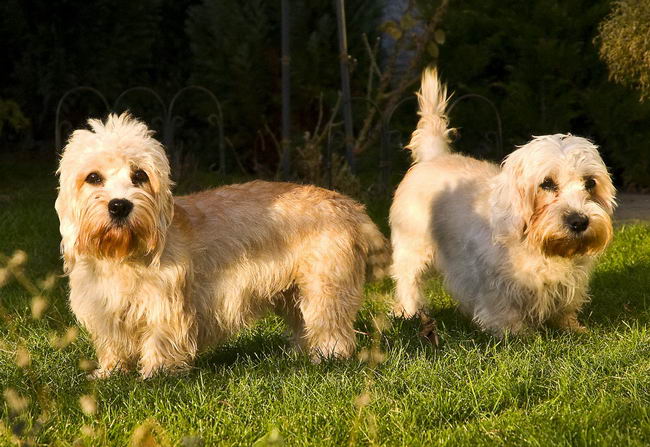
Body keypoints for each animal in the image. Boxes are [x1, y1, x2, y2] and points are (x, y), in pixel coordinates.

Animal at [55, 114, 388, 380]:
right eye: (93, 177)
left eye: (140, 175)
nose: (119, 206)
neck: (123, 255)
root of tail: (349, 205)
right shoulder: (104, 307)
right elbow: (113, 345)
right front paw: (109, 373)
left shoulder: (165, 306)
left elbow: (160, 341)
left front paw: (155, 375)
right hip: (294, 293)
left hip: (325, 287)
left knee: (332, 328)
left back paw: (326, 358)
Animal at [388, 69, 616, 336]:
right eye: (547, 183)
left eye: (590, 183)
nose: (579, 222)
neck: (537, 243)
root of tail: (434, 157)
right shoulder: (493, 281)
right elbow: (502, 310)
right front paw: (515, 333)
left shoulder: (570, 280)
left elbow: (565, 305)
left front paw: (570, 326)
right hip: (413, 248)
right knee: (408, 283)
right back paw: (410, 312)